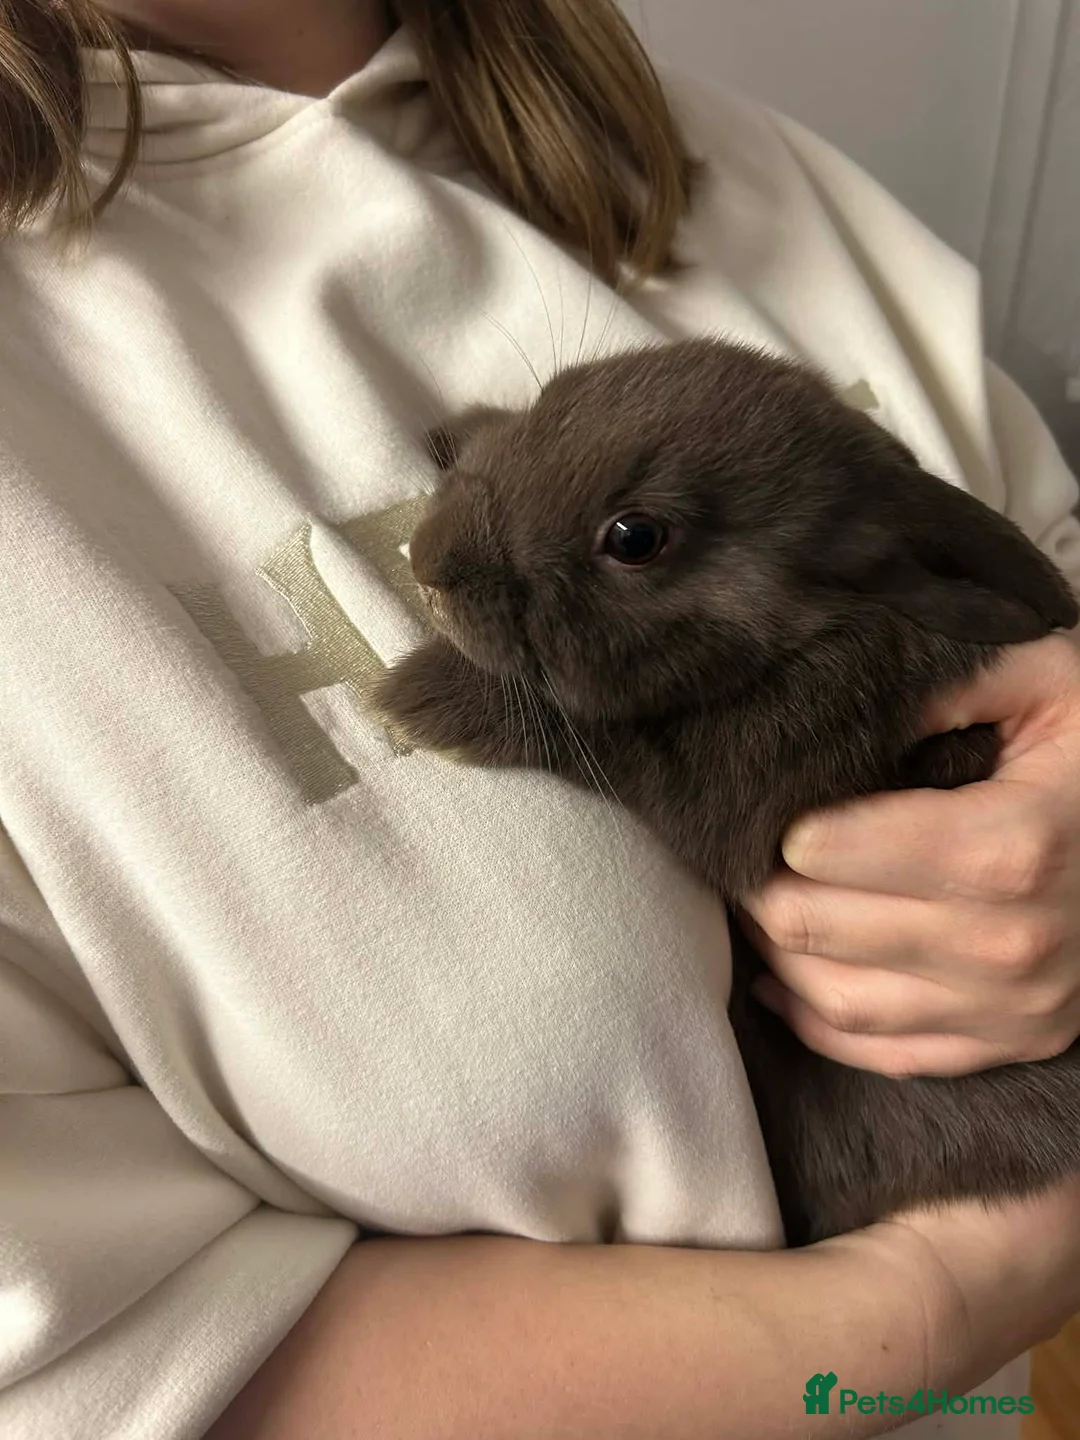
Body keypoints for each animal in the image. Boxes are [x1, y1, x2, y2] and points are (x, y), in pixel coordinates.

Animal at [371, 336, 1080, 1245]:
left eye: (635, 536)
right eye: (559, 394)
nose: (431, 566)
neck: (814, 636)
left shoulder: (750, 783)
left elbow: (606, 734)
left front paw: (423, 694)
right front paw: (459, 428)